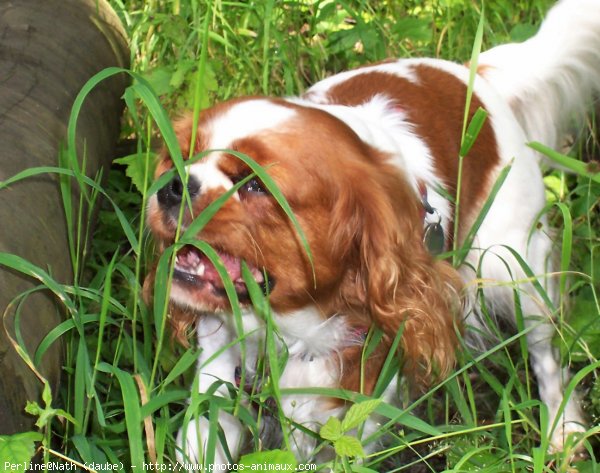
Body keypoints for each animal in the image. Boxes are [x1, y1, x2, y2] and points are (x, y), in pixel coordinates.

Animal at [146, 0, 600, 464]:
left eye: (255, 184)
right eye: (181, 158)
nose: (174, 186)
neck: (291, 331)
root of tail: (473, 73)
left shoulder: (351, 412)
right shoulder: (218, 387)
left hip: (517, 268)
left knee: (547, 357)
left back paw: (565, 429)